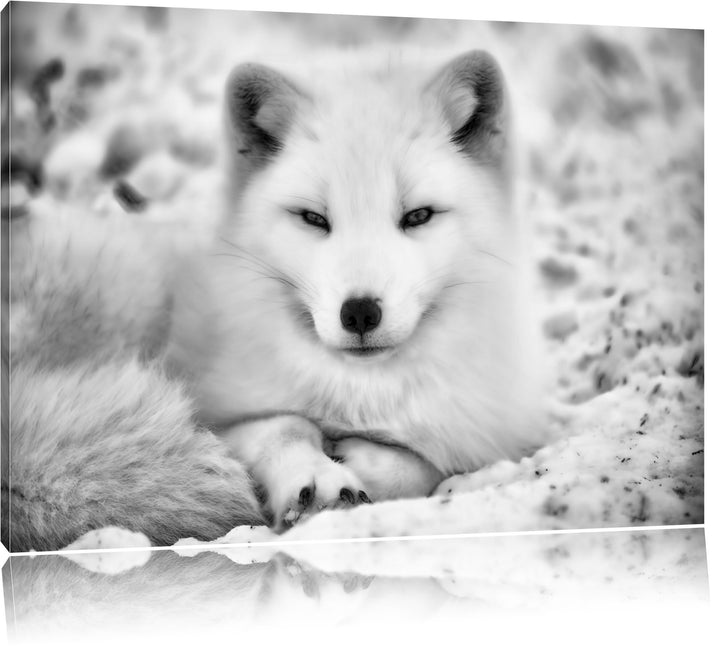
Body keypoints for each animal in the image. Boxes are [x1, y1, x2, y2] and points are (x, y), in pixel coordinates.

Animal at [3, 49, 547, 551]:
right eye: (313, 219)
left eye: (417, 216)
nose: (360, 312)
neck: (359, 394)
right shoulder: (217, 417)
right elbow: (283, 425)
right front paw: (319, 479)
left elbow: (426, 465)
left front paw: (367, 462)